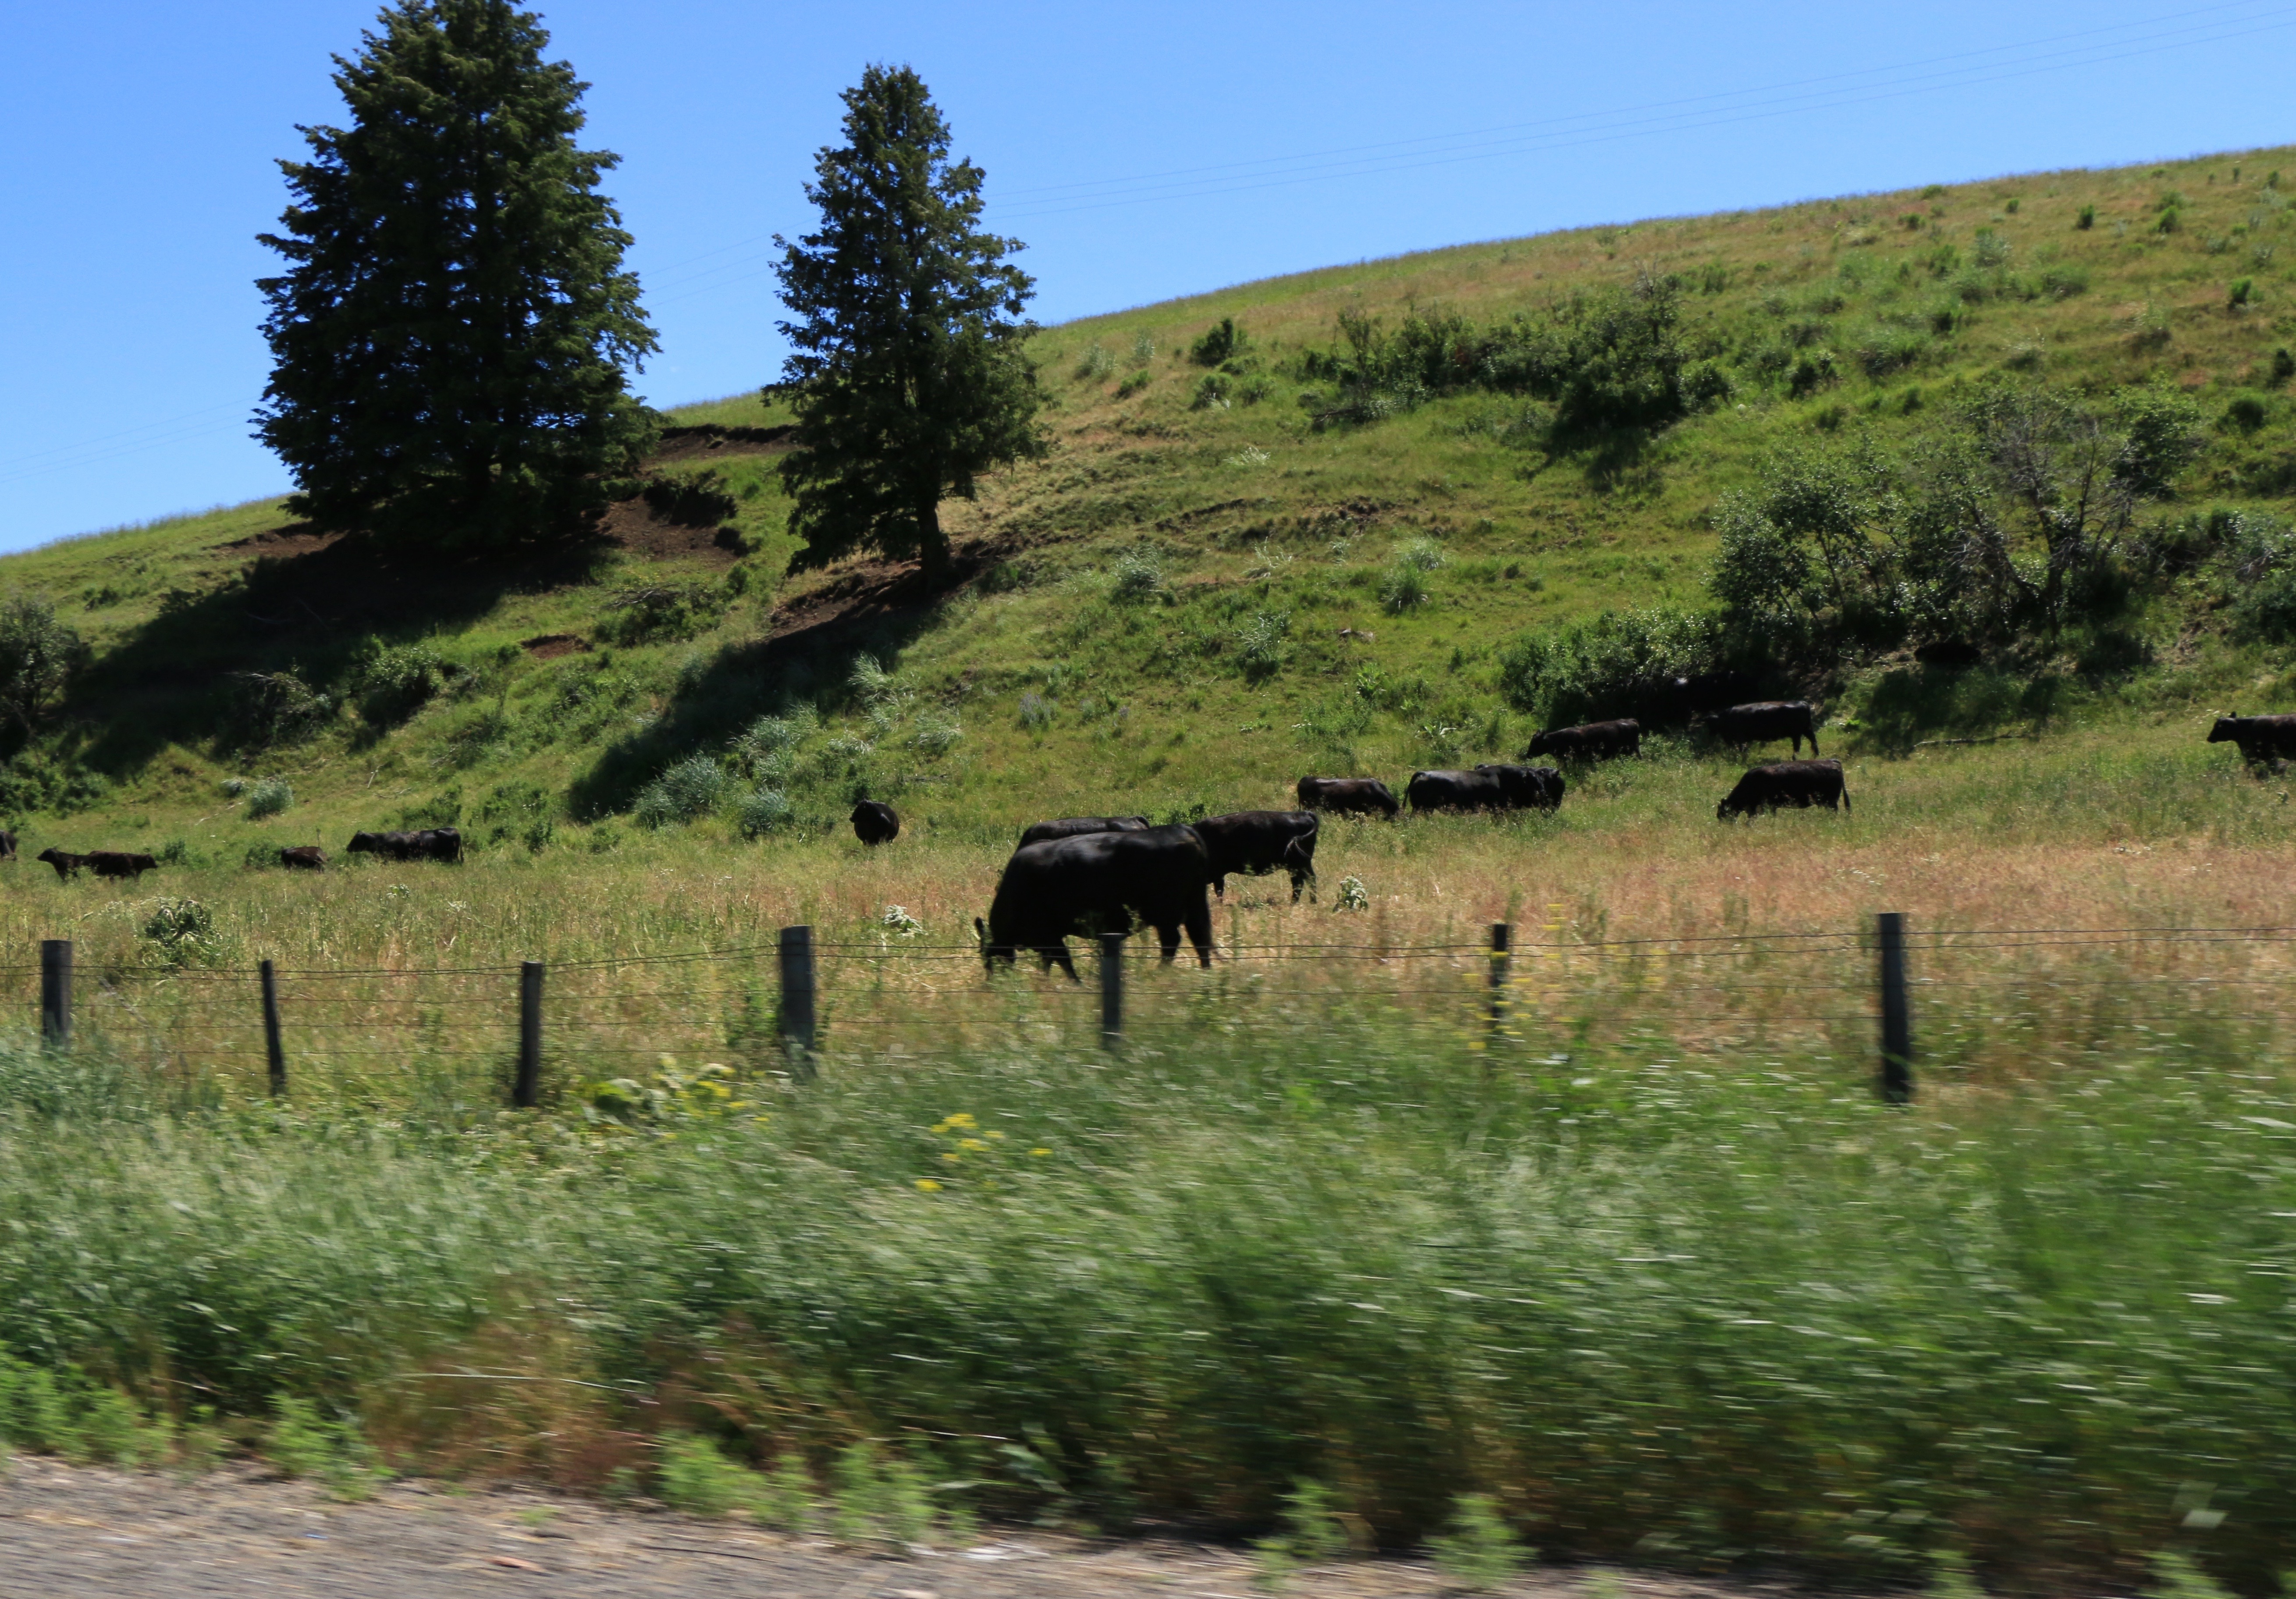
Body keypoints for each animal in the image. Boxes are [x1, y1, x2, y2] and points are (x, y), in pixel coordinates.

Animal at [976, 825, 1214, 979]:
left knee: (1172, 942)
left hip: (1165, 914)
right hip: (1194, 905)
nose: (992, 984)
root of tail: (1179, 829)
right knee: (1200, 938)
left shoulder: (1049, 935)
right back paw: (1205, 975)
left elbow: (1064, 962)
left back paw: (1159, 974)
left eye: (989, 960)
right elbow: (1050, 962)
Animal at [1192, 811, 1319, 903]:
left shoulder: (1217, 874)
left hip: (1301, 864)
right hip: (1294, 867)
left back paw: (1311, 903)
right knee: (1299, 883)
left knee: (1309, 880)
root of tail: (1303, 813)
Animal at [1699, 701, 1822, 757]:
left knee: (1798, 746)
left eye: (1711, 724)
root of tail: (1803, 703)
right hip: (1807, 729)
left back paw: (1795, 758)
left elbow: (1742, 749)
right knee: (1814, 741)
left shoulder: (1740, 738)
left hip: (1797, 733)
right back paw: (1816, 755)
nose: (1710, 734)